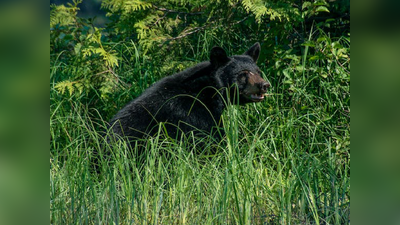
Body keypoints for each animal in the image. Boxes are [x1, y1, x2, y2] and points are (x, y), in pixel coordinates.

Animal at [107, 43, 268, 147]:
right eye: (243, 74)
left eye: (258, 72)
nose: (264, 85)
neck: (208, 91)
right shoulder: (193, 114)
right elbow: (208, 140)